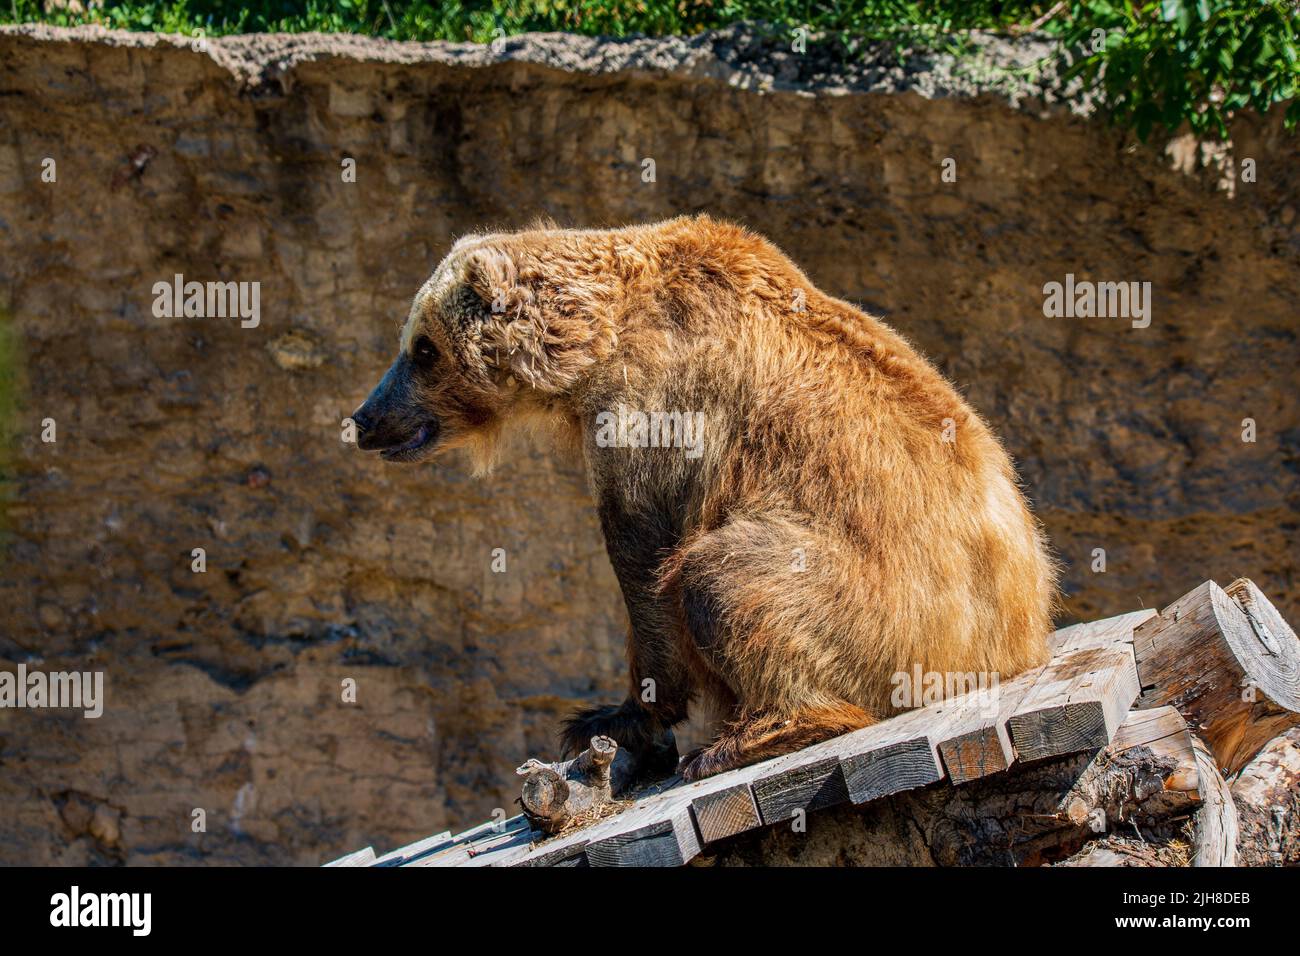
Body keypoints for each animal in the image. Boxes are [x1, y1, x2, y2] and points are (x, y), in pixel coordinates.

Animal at [353, 218, 1055, 785]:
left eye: (421, 349)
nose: (364, 419)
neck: (587, 349)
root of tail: (1018, 638)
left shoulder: (652, 413)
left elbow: (644, 563)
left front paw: (613, 718)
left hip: (889, 607)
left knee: (726, 574)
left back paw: (746, 738)